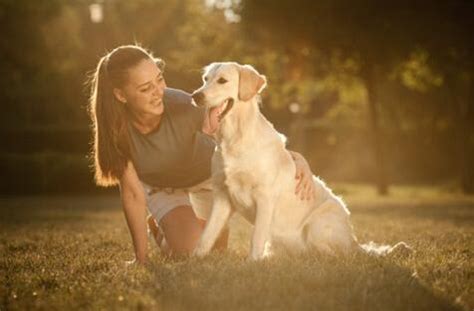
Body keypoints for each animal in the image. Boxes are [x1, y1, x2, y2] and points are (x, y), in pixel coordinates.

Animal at [190, 62, 408, 260]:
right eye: (205, 79)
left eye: (222, 81)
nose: (196, 96)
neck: (235, 138)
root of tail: (354, 241)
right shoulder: (222, 196)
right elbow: (206, 235)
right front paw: (194, 260)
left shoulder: (264, 197)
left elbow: (256, 237)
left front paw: (252, 263)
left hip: (317, 225)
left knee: (335, 256)